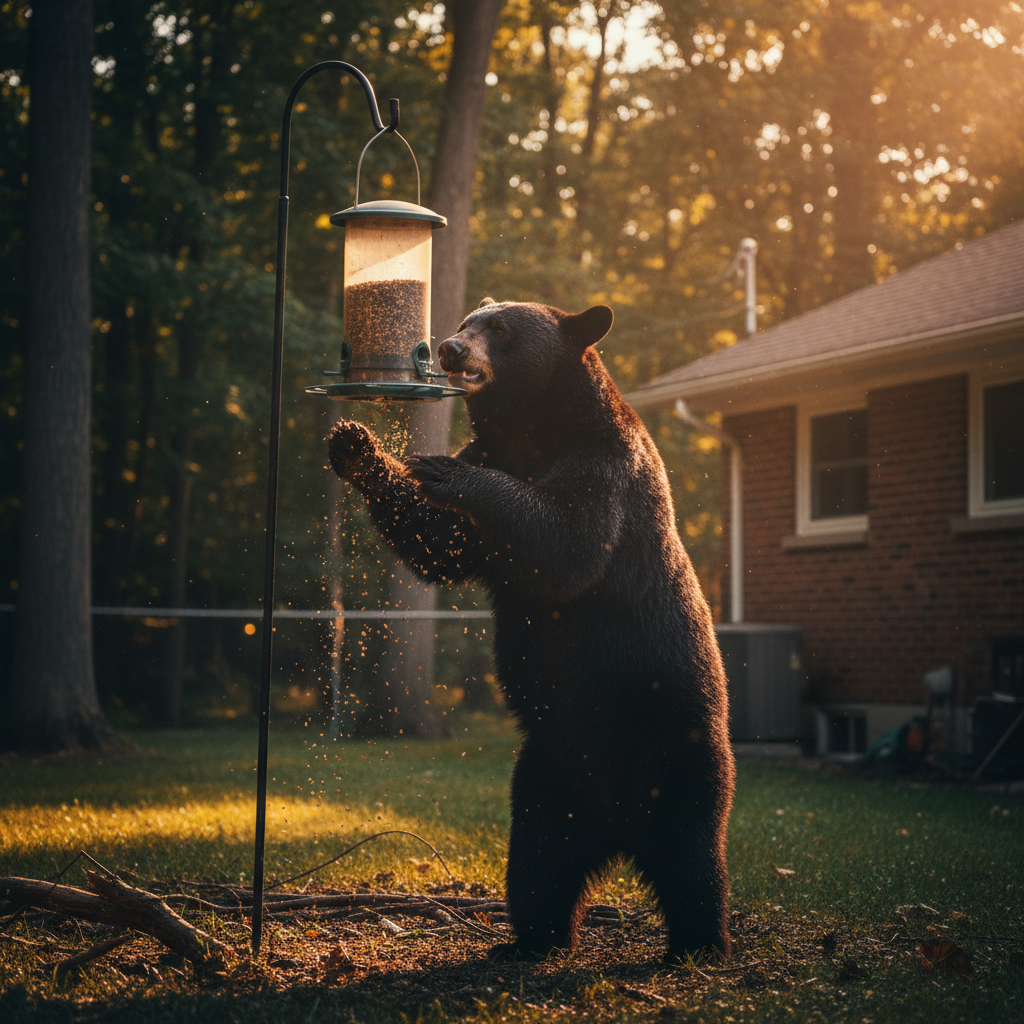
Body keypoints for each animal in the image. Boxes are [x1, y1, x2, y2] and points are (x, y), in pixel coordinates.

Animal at [327, 298, 735, 962]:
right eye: (466, 322)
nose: (450, 348)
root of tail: (616, 826)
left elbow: (565, 541)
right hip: (547, 776)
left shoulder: (606, 468)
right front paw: (356, 444)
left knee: (691, 858)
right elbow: (440, 546)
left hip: (677, 754)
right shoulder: (493, 472)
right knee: (539, 862)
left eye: (499, 330)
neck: (533, 429)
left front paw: (437, 468)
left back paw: (698, 945)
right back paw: (531, 940)